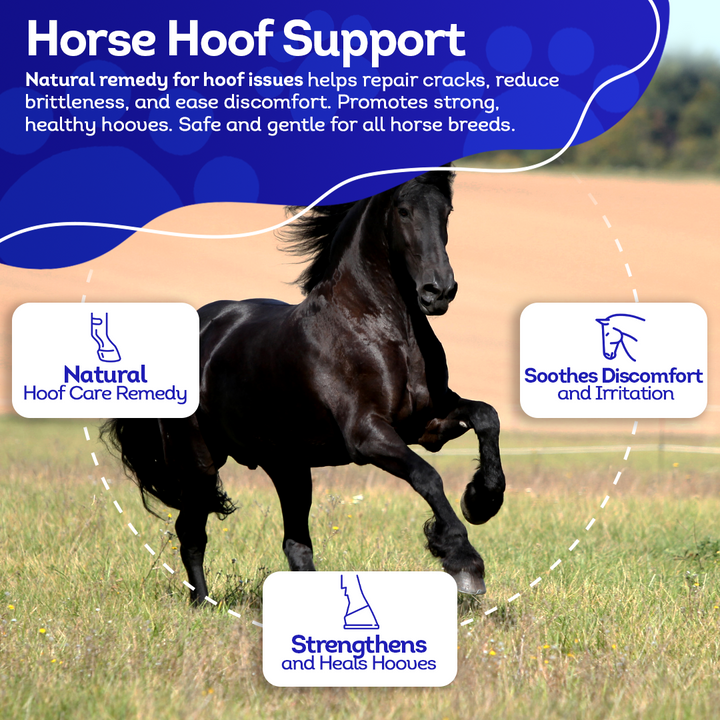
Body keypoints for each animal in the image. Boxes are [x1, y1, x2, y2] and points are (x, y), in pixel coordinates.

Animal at [102, 169, 506, 604]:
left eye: (447, 211)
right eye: (403, 210)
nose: (438, 291)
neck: (382, 331)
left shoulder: (427, 425)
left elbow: (487, 417)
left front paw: (482, 499)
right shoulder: (367, 436)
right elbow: (428, 476)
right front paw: (463, 559)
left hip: (289, 466)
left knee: (295, 545)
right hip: (199, 460)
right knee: (191, 532)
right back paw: (201, 604)